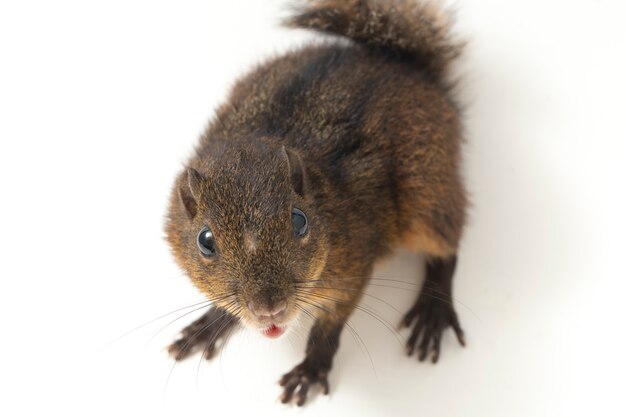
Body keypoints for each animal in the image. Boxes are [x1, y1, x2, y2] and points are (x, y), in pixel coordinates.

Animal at [163, 0, 466, 404]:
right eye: (205, 241)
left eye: (299, 220)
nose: (269, 309)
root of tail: (403, 66)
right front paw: (211, 322)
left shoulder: (355, 262)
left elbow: (330, 323)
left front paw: (311, 368)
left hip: (427, 194)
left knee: (447, 246)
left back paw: (433, 309)